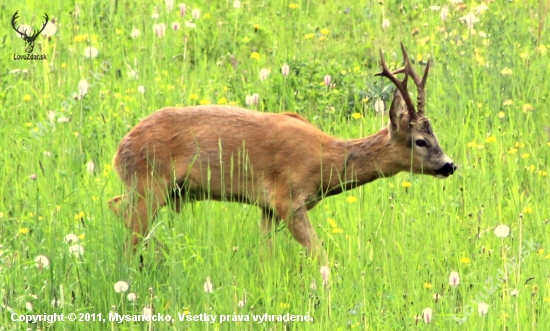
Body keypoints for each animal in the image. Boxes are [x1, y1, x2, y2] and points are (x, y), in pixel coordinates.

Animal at [108, 42, 458, 284]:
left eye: (435, 134)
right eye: (420, 140)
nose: (449, 165)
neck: (326, 162)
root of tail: (119, 150)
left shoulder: (266, 206)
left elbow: (266, 252)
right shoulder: (288, 198)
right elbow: (319, 252)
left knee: (116, 207)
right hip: (148, 185)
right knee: (127, 226)